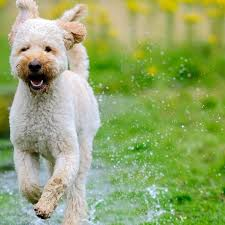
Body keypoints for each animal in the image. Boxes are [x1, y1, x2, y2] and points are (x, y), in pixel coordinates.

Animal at [8, 0, 100, 224]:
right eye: (24, 49)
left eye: (48, 49)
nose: (34, 64)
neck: (39, 101)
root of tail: (78, 76)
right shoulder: (24, 149)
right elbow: (27, 183)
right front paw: (36, 195)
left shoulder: (68, 152)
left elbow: (58, 181)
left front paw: (45, 206)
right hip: (50, 156)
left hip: (83, 146)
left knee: (76, 190)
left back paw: (72, 217)